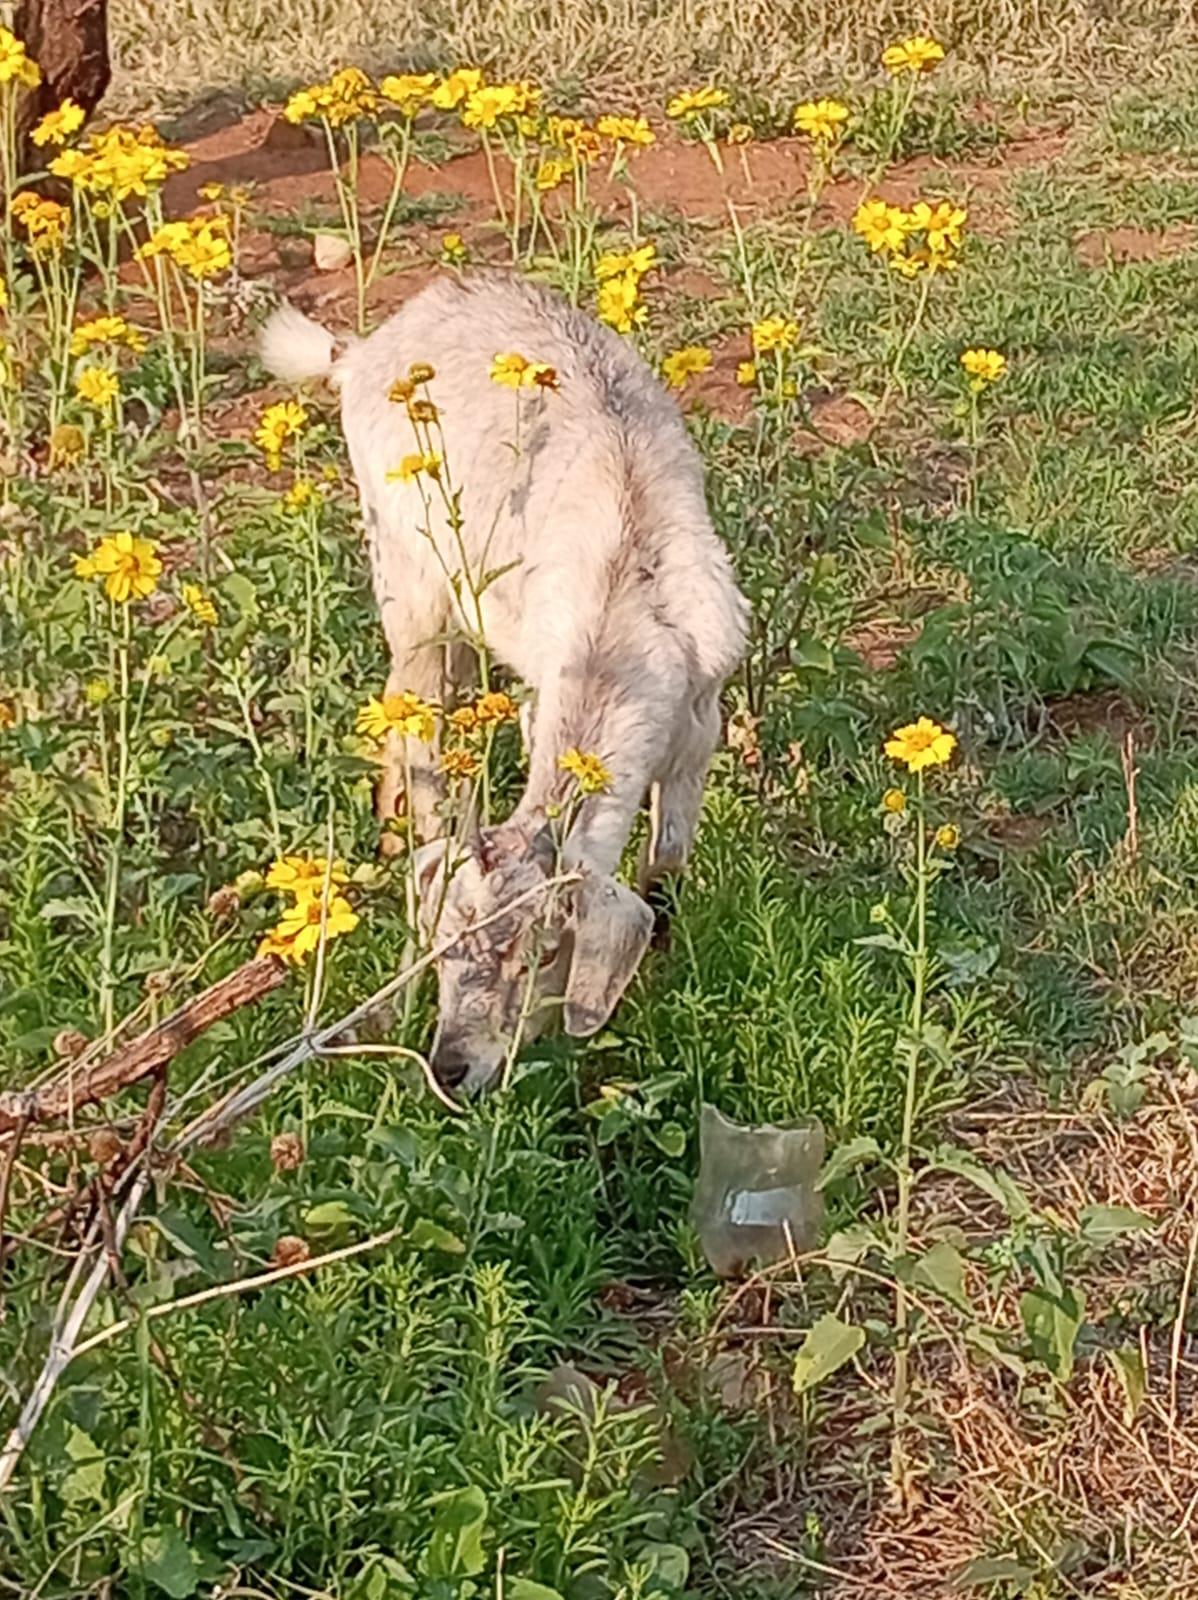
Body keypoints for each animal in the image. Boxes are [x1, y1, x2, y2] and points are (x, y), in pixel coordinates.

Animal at [260, 272, 747, 1090]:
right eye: (445, 948)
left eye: (544, 952)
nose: (452, 1068)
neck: (626, 600)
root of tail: (361, 350)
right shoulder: (543, 699)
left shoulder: (699, 722)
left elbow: (667, 870)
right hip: (407, 570)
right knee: (412, 712)